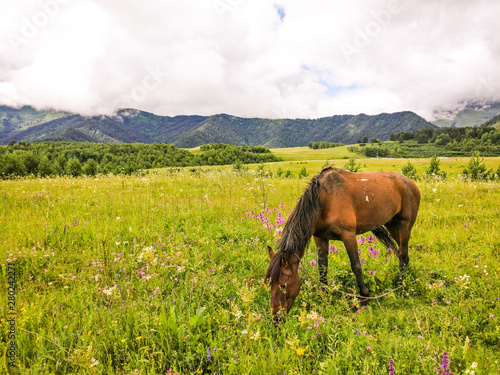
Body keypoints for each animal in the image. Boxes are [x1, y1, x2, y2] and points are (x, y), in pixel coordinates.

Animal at [266, 167, 422, 318]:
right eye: (269, 284)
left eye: (283, 286)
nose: (276, 318)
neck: (324, 200)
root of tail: (410, 182)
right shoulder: (320, 238)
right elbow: (322, 267)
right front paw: (324, 295)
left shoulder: (348, 235)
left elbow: (356, 266)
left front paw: (364, 298)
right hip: (392, 224)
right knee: (404, 253)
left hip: (405, 225)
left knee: (402, 254)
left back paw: (398, 284)